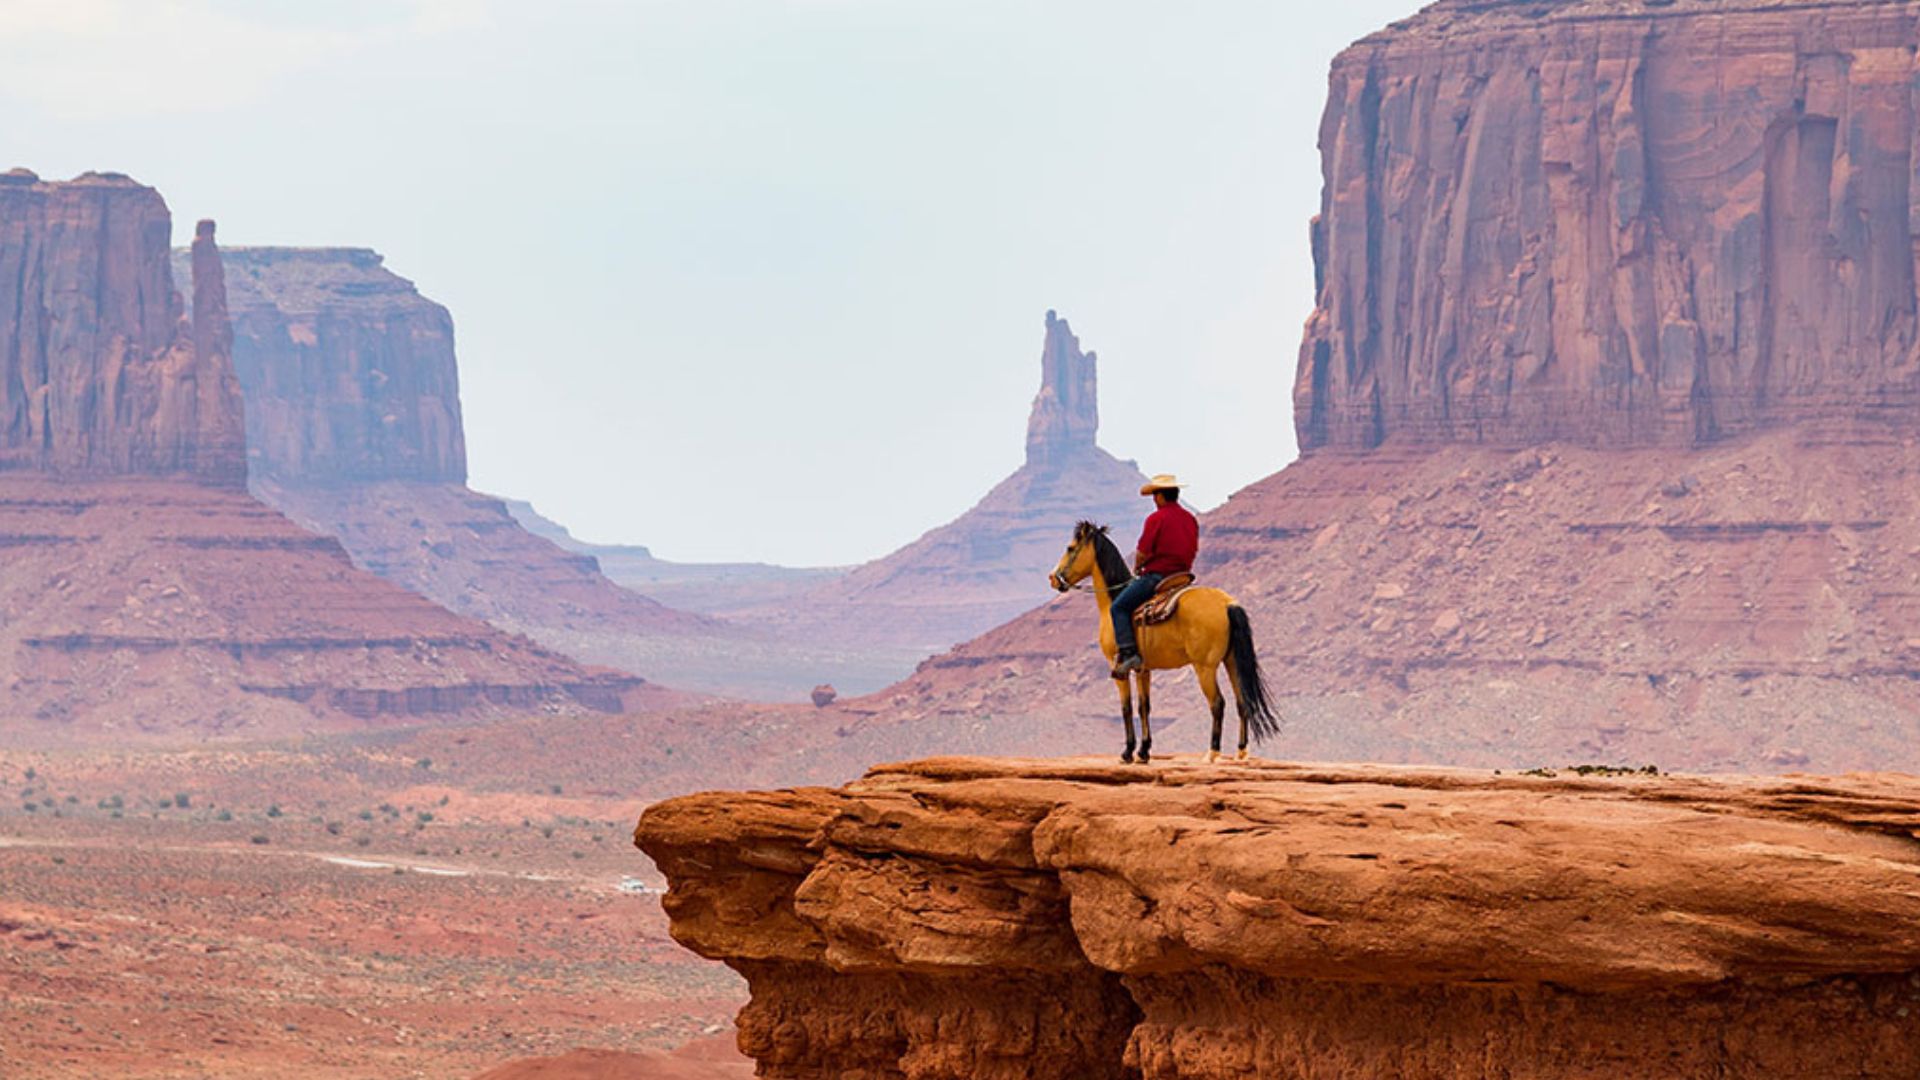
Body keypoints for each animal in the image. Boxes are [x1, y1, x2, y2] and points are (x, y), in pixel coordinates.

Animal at [1049, 521, 1279, 764]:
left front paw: (1128, 752)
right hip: (1232, 661)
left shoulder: (1118, 668)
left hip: (1205, 667)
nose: (1053, 578)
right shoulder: (1143, 669)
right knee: (1242, 701)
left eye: (1070, 548)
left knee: (1218, 703)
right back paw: (1241, 751)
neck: (1113, 599)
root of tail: (1227, 604)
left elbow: (1126, 708)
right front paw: (1143, 751)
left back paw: (1212, 752)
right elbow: (1144, 707)